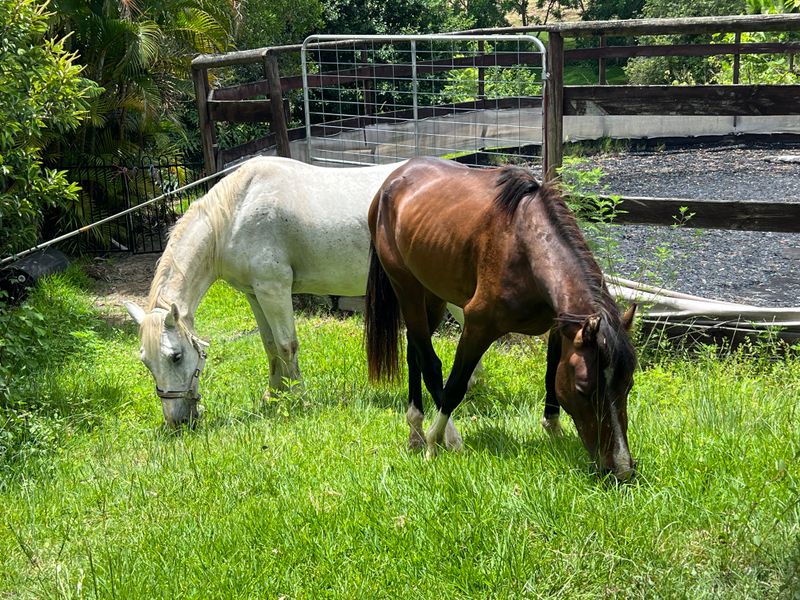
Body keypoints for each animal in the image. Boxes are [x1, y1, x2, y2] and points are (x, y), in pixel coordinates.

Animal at [125, 156, 474, 427]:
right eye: (145, 361)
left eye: (175, 356)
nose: (177, 421)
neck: (236, 212)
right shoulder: (255, 293)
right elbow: (269, 346)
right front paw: (273, 396)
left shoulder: (274, 288)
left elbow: (286, 345)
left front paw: (299, 401)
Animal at [365, 157, 638, 480]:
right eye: (585, 388)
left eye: (629, 384)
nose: (621, 469)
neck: (525, 243)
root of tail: (394, 178)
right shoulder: (479, 325)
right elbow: (455, 386)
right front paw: (435, 442)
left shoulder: (561, 327)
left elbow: (551, 372)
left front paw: (553, 427)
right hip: (406, 287)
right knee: (430, 364)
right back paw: (442, 438)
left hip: (432, 293)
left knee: (414, 352)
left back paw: (415, 431)